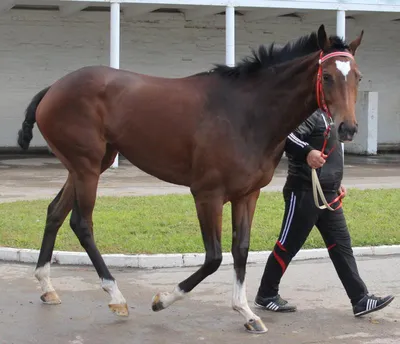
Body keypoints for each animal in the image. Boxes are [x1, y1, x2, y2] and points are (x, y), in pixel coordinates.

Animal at [17, 24, 362, 336]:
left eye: (357, 76)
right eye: (327, 76)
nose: (347, 128)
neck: (247, 112)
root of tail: (53, 88)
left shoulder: (246, 195)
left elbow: (240, 250)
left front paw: (247, 313)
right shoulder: (207, 194)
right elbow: (214, 257)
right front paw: (162, 300)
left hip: (88, 166)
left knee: (55, 212)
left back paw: (47, 287)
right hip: (86, 167)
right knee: (81, 223)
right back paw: (116, 297)